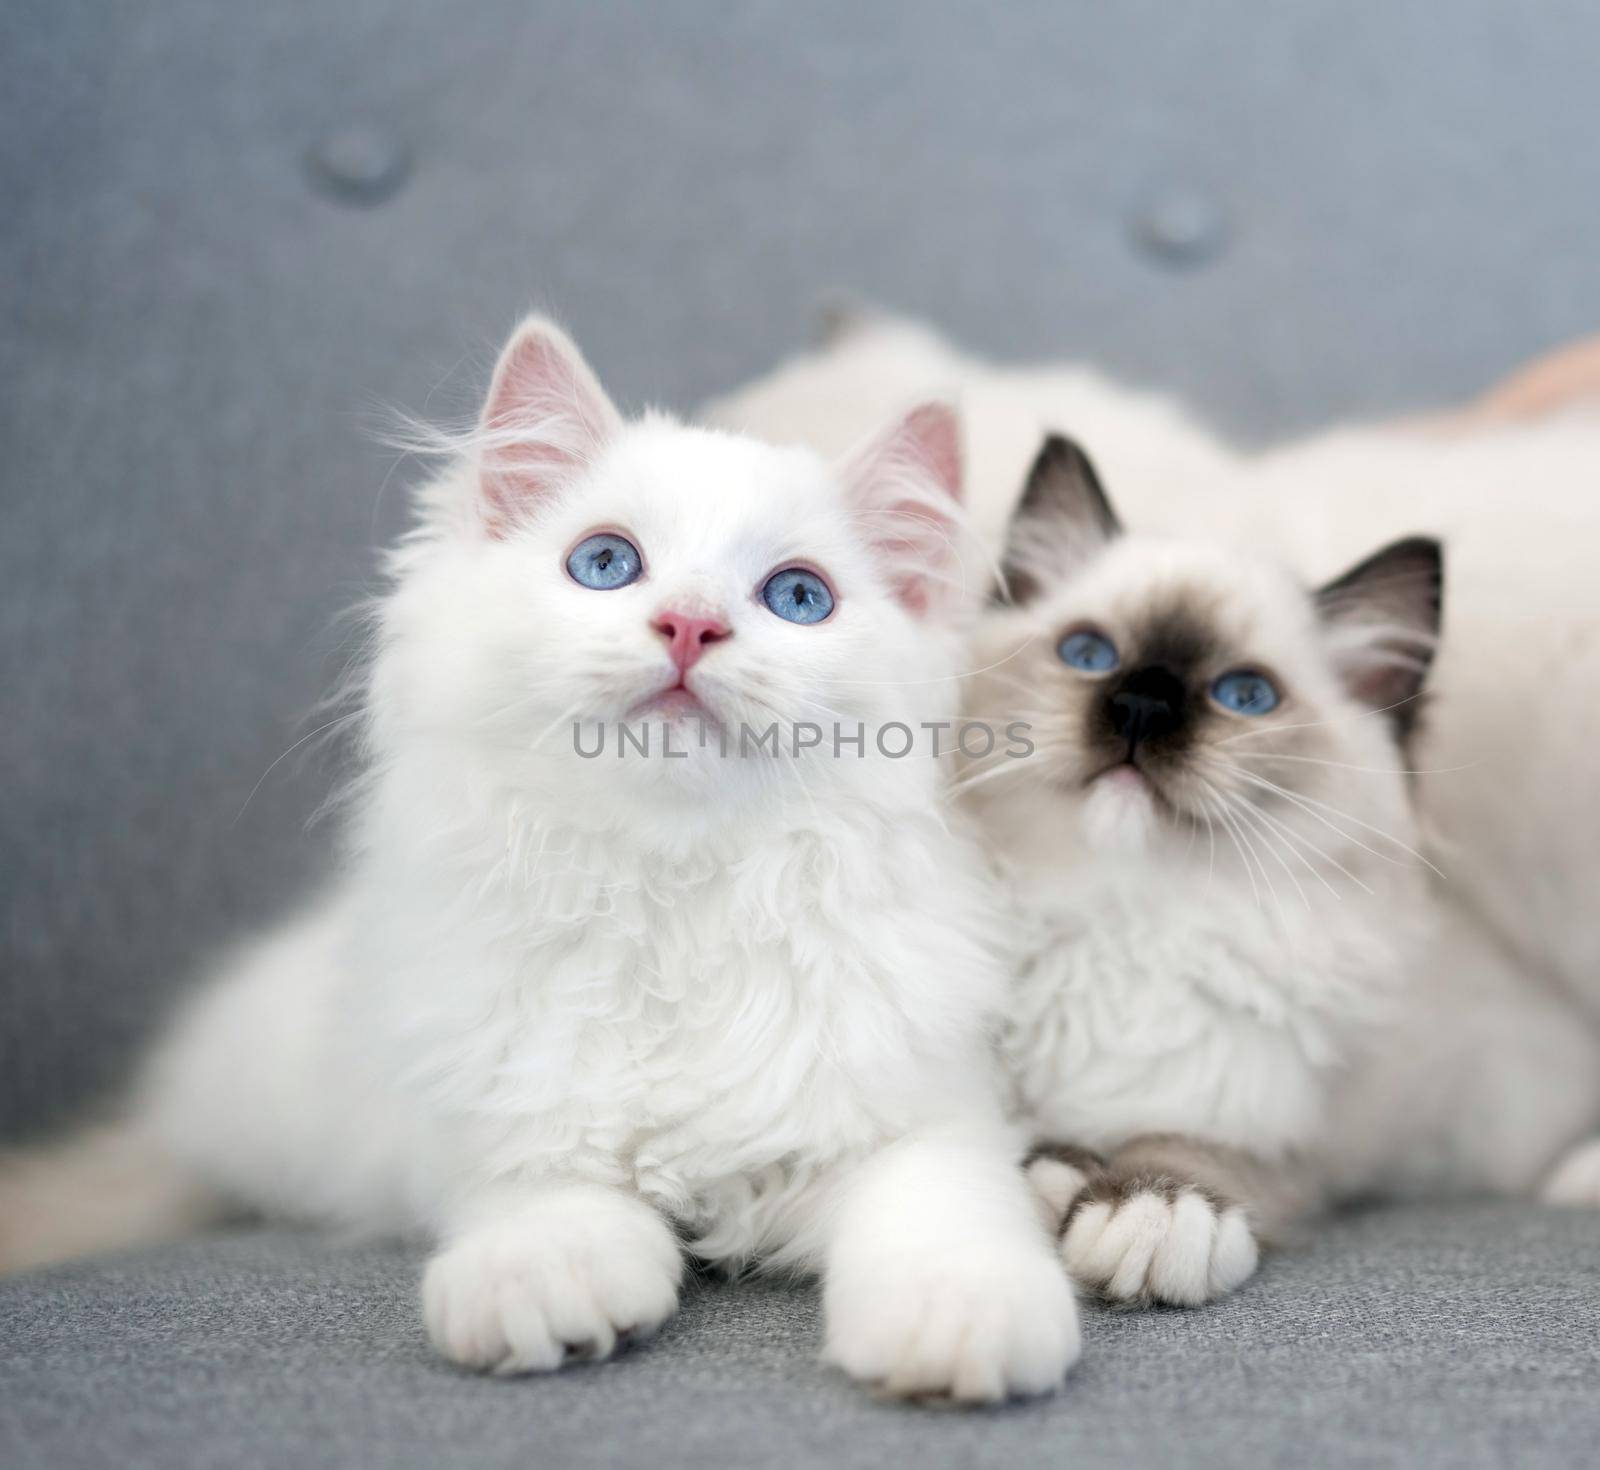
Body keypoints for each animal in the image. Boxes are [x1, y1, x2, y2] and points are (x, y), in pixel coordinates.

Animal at [3, 316, 1075, 1394]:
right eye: (605, 564)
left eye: (799, 597)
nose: (691, 625)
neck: (678, 888)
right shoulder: (505, 1114)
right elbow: (544, 1203)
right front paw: (543, 1290)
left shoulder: (921, 1113)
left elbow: (939, 1212)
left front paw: (956, 1324)